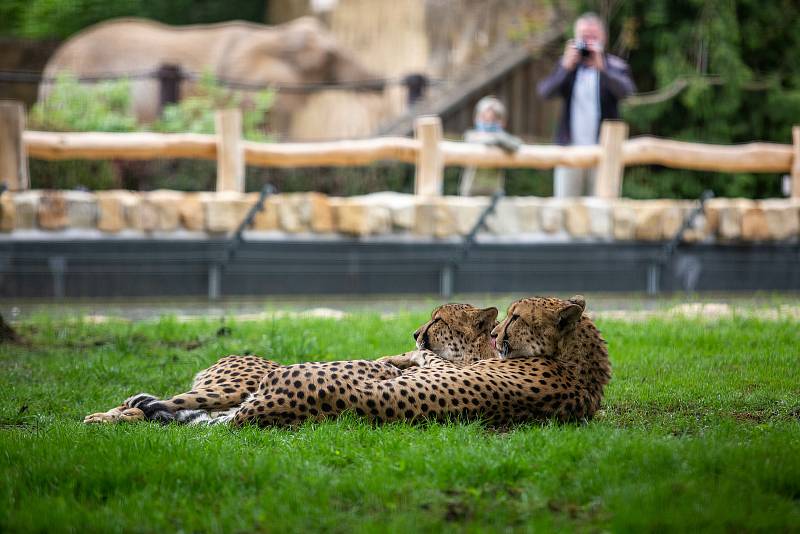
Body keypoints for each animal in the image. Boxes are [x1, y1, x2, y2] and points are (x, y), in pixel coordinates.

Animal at [86, 306, 500, 428]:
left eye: (438, 321)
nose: (415, 333)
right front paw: (395, 358)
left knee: (162, 410)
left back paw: (113, 418)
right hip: (229, 387)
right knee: (159, 403)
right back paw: (100, 417)